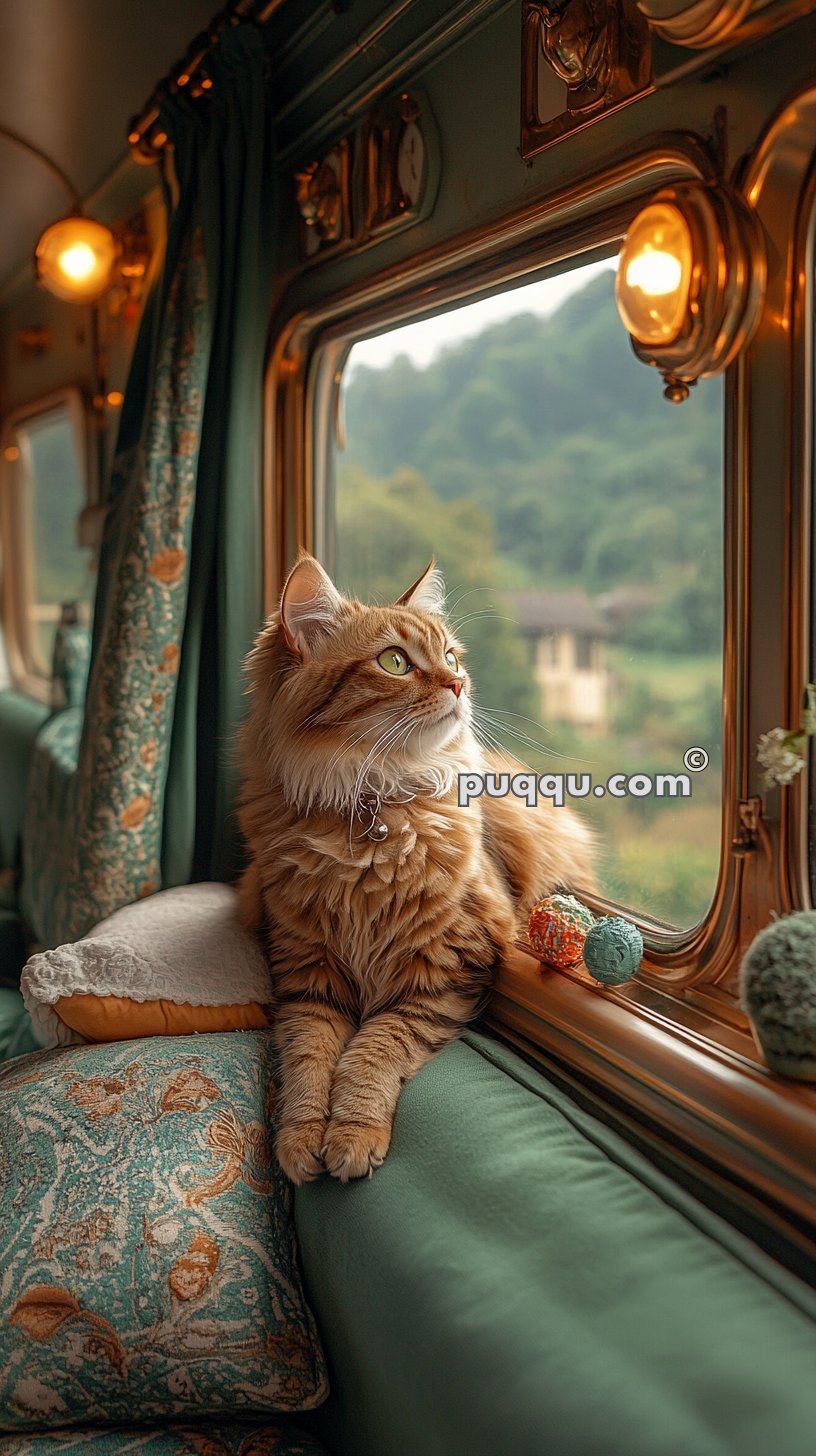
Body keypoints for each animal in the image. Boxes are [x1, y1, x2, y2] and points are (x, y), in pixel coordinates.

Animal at [236, 553, 591, 1182]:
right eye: (395, 662)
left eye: (451, 657)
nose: (459, 684)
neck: (371, 810)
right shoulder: (308, 974)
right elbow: (308, 1061)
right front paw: (300, 1139)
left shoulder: (443, 971)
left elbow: (371, 1053)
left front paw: (352, 1135)